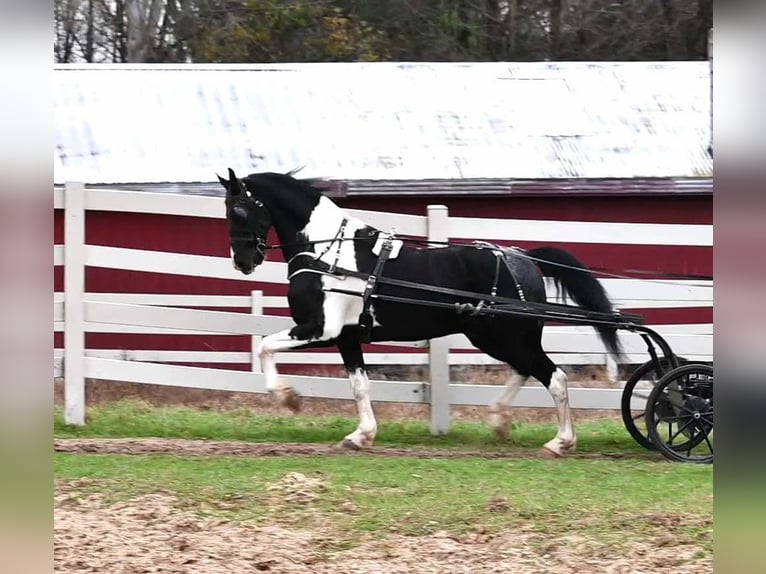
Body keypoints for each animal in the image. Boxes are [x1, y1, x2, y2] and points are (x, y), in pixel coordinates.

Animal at [218, 168, 622, 456]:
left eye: (237, 209)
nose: (243, 262)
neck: (329, 254)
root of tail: (521, 257)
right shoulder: (347, 336)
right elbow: (359, 386)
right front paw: (361, 436)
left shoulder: (320, 328)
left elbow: (264, 346)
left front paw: (288, 397)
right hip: (498, 337)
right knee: (528, 370)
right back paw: (499, 419)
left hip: (504, 336)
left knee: (554, 377)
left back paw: (560, 442)